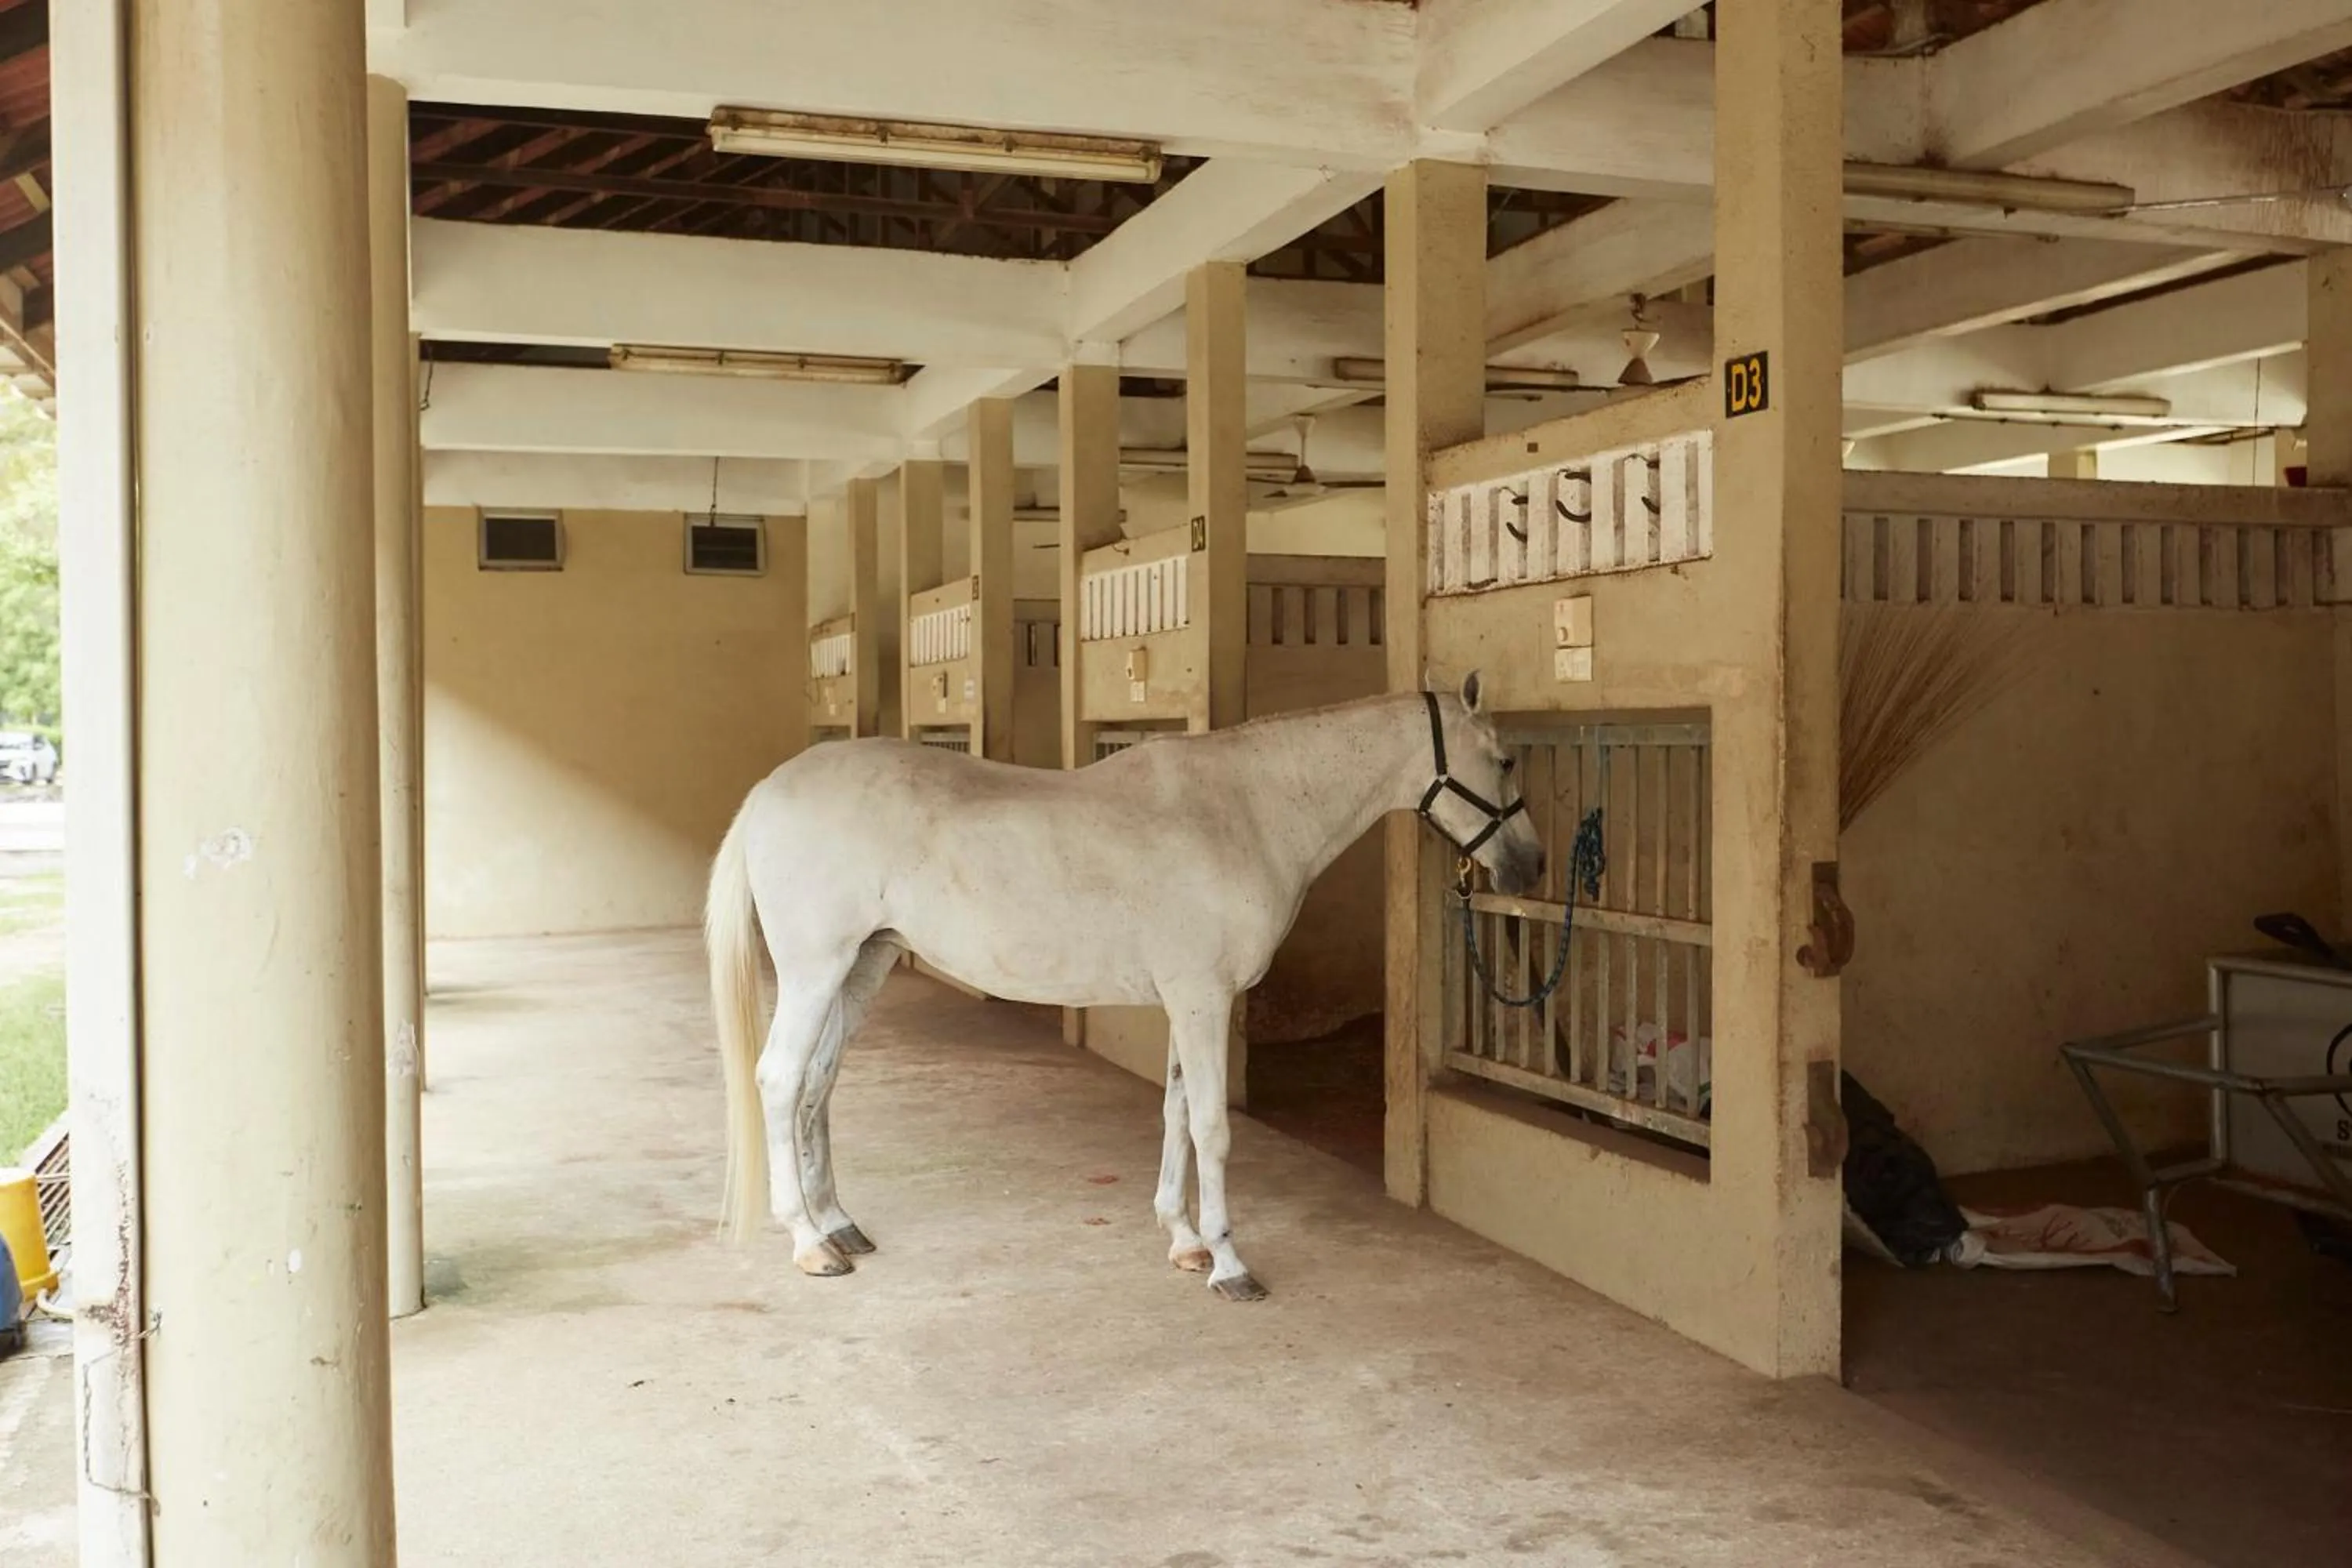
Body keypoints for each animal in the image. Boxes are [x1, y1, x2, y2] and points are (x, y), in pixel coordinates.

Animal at [704, 673, 1546, 1301]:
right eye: (1504, 760)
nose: (1532, 867)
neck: (1245, 809)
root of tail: (766, 793)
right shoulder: (1205, 999)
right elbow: (1211, 1126)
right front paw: (1229, 1265)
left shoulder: (1189, 1000)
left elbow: (1175, 1113)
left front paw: (1183, 1240)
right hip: (816, 971)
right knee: (780, 1080)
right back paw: (810, 1244)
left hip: (862, 967)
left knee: (817, 1084)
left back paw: (838, 1223)